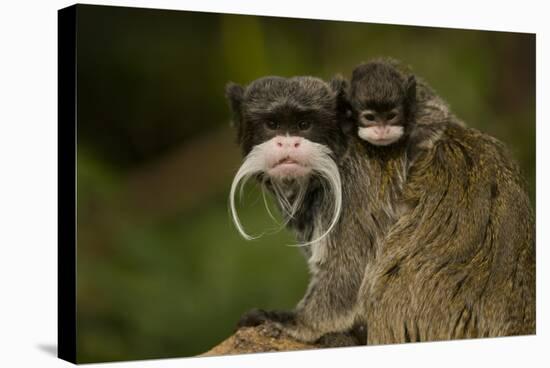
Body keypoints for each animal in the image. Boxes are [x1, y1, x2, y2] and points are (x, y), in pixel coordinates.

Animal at [226, 72, 536, 344]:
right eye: (272, 124)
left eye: (304, 124)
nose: (288, 143)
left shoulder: (354, 185)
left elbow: (347, 275)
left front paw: (294, 322)